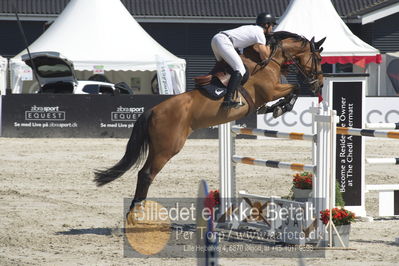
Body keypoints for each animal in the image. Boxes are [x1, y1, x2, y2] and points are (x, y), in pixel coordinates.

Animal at [95, 31, 326, 218]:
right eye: (318, 58)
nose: (320, 84)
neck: (269, 61)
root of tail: (153, 111)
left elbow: (290, 91)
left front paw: (274, 109)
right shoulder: (270, 90)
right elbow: (294, 89)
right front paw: (280, 107)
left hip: (158, 147)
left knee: (143, 173)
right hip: (167, 148)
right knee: (146, 175)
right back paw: (136, 213)